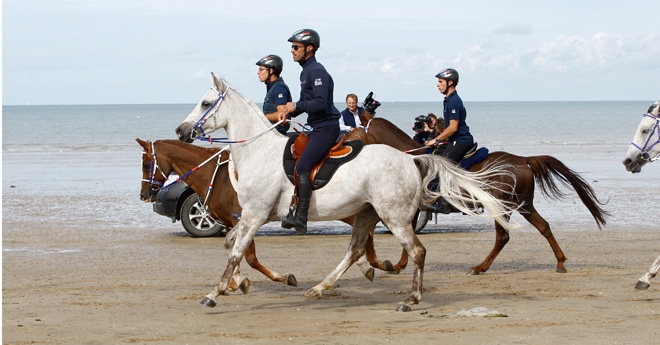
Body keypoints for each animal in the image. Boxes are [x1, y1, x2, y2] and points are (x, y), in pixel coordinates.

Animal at [175, 74, 520, 310]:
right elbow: (232, 246)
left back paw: (411, 298)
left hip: (393, 217)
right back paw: (320, 287)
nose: (181, 130)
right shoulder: (248, 216)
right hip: (368, 213)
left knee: (416, 251)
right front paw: (237, 284)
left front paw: (215, 292)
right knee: (354, 251)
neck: (258, 152)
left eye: (205, 103)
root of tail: (411, 159)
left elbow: (235, 251)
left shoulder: (254, 215)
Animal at [356, 117, 608, 272]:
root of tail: (523, 160)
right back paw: (560, 262)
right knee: (544, 226)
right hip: (525, 205)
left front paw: (394, 264)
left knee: (503, 237)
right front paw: (397, 264)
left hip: (502, 206)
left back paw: (480, 267)